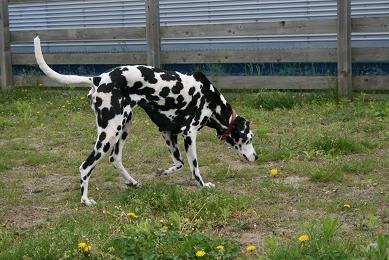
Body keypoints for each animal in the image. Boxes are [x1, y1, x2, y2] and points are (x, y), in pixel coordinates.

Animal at [34, 36, 258, 205]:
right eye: (249, 138)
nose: (256, 157)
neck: (211, 99)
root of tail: (98, 79)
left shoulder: (168, 133)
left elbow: (178, 164)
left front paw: (163, 172)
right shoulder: (189, 134)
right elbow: (194, 168)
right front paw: (203, 186)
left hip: (123, 128)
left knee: (115, 159)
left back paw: (132, 182)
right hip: (109, 134)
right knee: (85, 167)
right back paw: (85, 200)